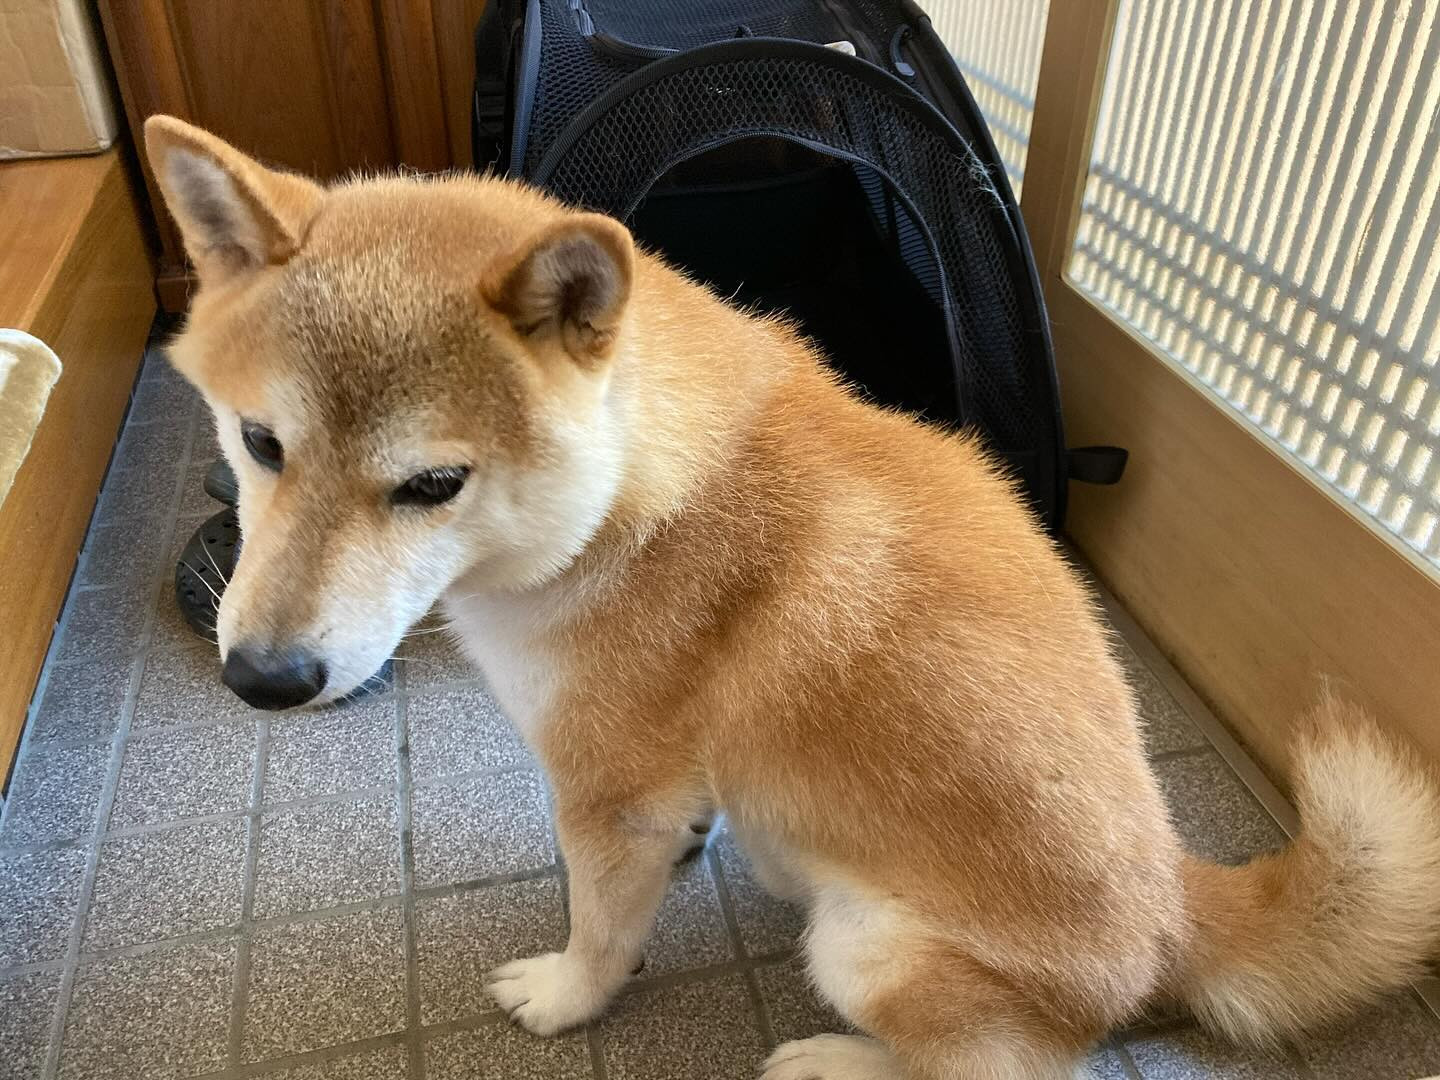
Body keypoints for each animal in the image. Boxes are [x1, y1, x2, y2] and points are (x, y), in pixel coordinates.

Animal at [143, 114, 1440, 1077]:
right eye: (260, 443)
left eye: (432, 485)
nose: (262, 680)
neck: (629, 504)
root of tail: (1176, 906)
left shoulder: (607, 794)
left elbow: (601, 933)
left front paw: (567, 998)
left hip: (869, 950)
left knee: (998, 1067)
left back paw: (834, 1059)